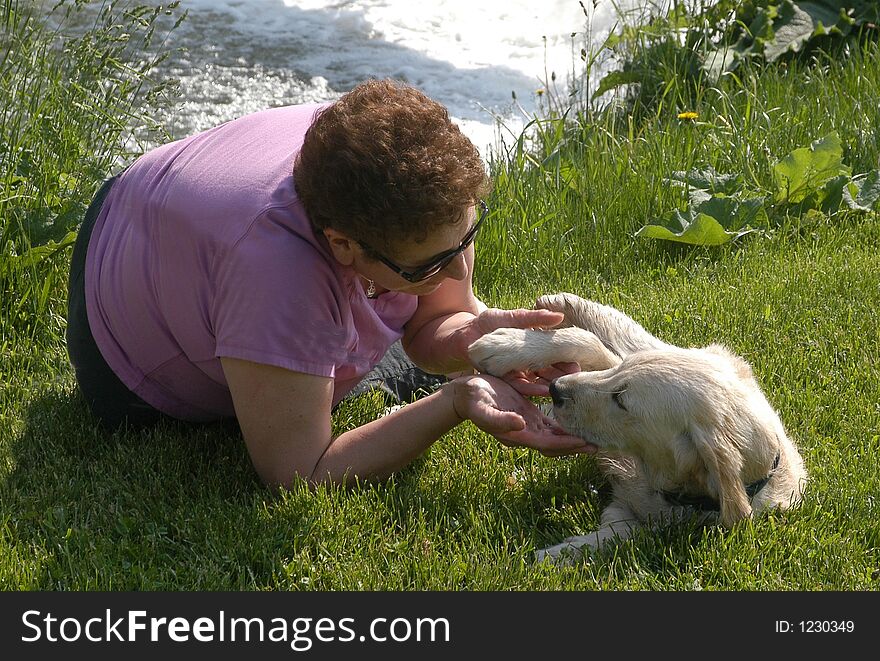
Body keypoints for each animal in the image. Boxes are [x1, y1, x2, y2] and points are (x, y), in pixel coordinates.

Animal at [470, 292, 808, 560]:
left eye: (622, 401)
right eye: (620, 378)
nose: (555, 389)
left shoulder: (651, 520)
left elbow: (624, 535)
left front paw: (553, 556)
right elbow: (590, 343)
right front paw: (507, 346)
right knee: (614, 334)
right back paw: (563, 304)